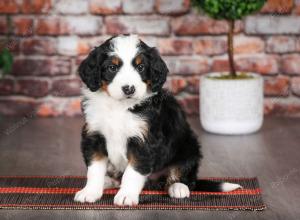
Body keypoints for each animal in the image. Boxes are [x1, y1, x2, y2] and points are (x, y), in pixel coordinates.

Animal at [75, 34, 241, 206]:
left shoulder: (144, 141)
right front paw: (90, 192)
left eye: (141, 67)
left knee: (184, 175)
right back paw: (109, 181)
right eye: (112, 68)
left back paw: (178, 187)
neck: (119, 107)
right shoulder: (94, 136)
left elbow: (132, 172)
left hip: (189, 148)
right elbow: (94, 169)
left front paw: (127, 195)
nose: (129, 89)